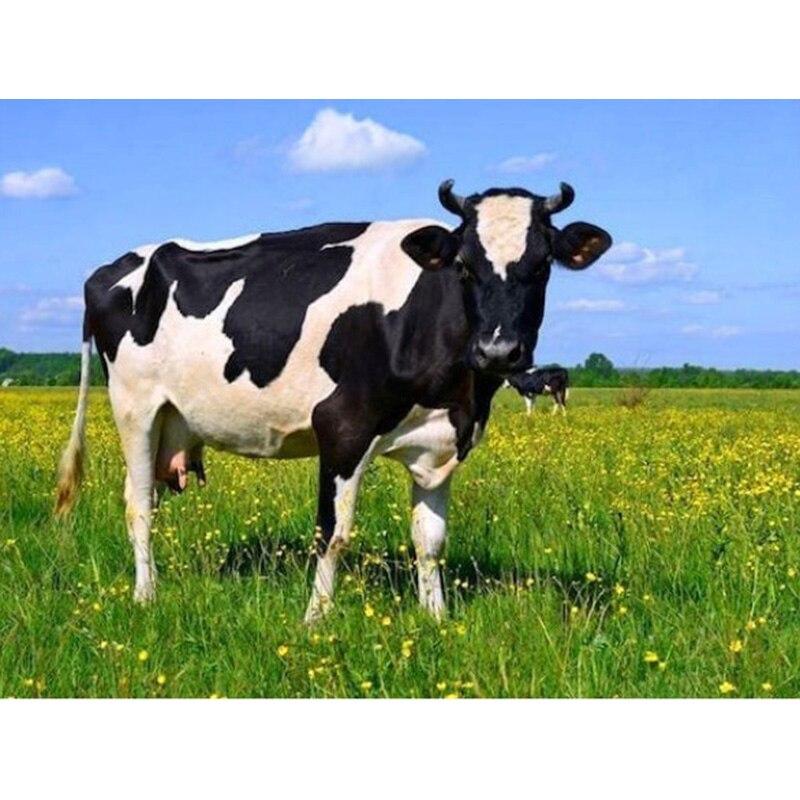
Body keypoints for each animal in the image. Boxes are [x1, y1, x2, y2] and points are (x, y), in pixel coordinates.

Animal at [55, 180, 611, 623]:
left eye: (542, 265)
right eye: (464, 266)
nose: (498, 350)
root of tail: (114, 267)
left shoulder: (438, 443)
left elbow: (430, 540)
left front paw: (436, 617)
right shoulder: (342, 428)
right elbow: (332, 532)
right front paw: (316, 619)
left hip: (172, 419)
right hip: (136, 408)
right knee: (138, 505)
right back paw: (145, 595)